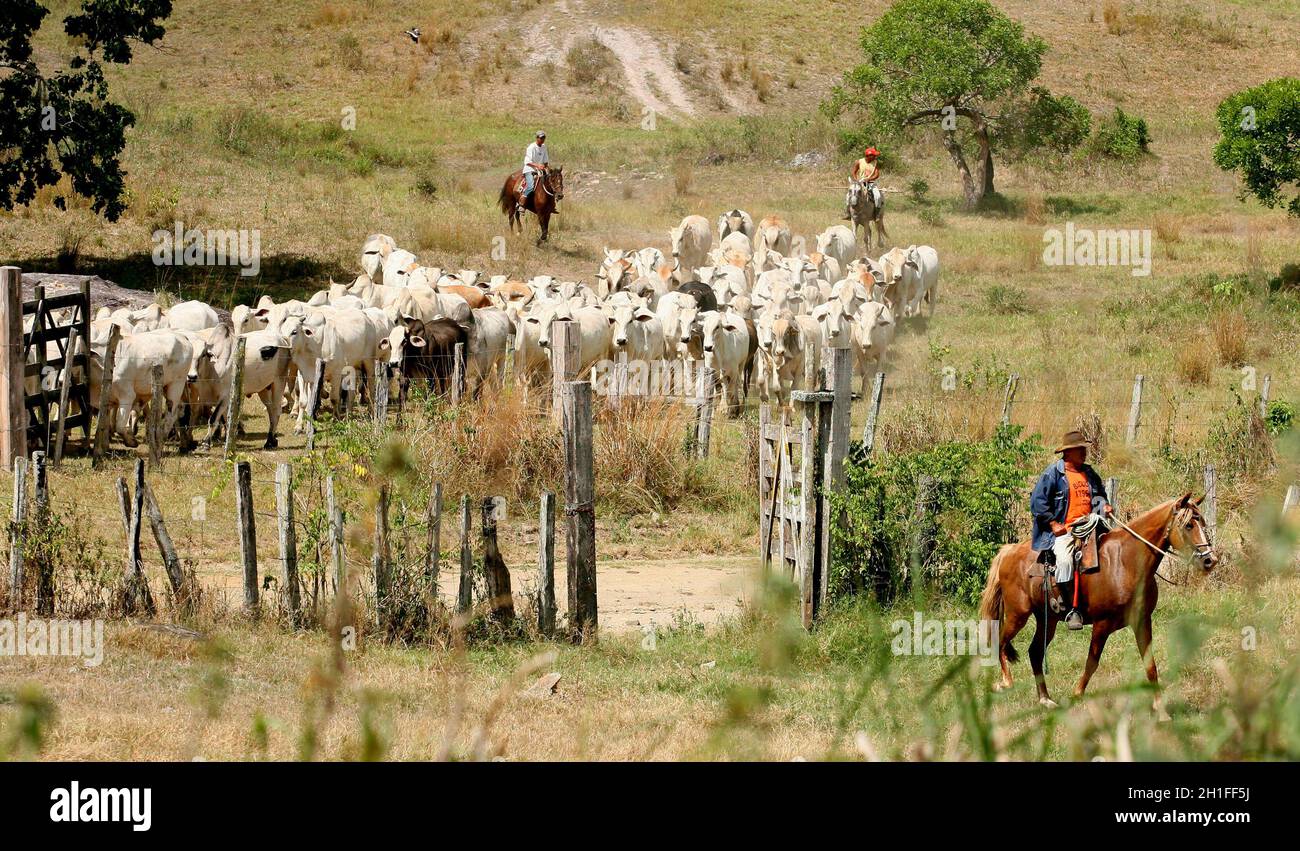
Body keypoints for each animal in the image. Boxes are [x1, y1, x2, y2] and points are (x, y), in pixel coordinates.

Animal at [982, 493, 1216, 717]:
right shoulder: (1102, 624)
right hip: (1017, 614)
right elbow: (1092, 662)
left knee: (1035, 652)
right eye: (1188, 525)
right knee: (1001, 642)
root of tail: (1009, 551)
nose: (1210, 560)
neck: (1126, 562)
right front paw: (1076, 695)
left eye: (1202, 522)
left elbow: (1150, 665)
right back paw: (1005, 683)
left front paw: (1161, 710)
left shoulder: (1142, 621)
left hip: (1046, 620)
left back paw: (1045, 699)